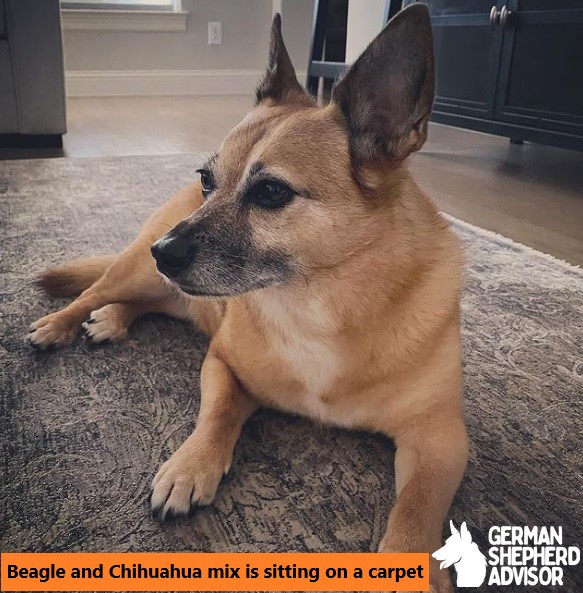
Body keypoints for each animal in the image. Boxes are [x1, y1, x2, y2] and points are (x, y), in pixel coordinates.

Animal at [29, 5, 470, 592]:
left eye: (271, 192)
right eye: (206, 179)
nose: (163, 251)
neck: (319, 303)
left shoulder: (440, 437)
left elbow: (417, 505)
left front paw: (411, 558)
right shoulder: (222, 364)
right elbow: (216, 415)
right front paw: (190, 466)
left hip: (160, 286)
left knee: (151, 301)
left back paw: (113, 320)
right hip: (132, 271)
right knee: (94, 291)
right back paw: (62, 323)